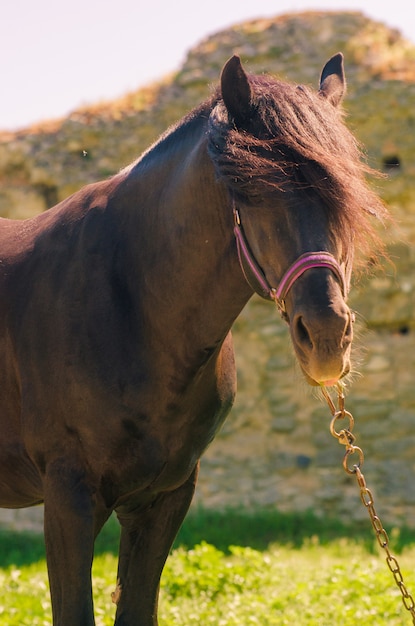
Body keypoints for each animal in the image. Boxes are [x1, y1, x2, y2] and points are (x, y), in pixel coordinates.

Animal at [0, 53, 386, 624]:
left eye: (344, 197)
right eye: (253, 191)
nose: (326, 337)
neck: (129, 304)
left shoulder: (165, 497)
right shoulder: (69, 497)